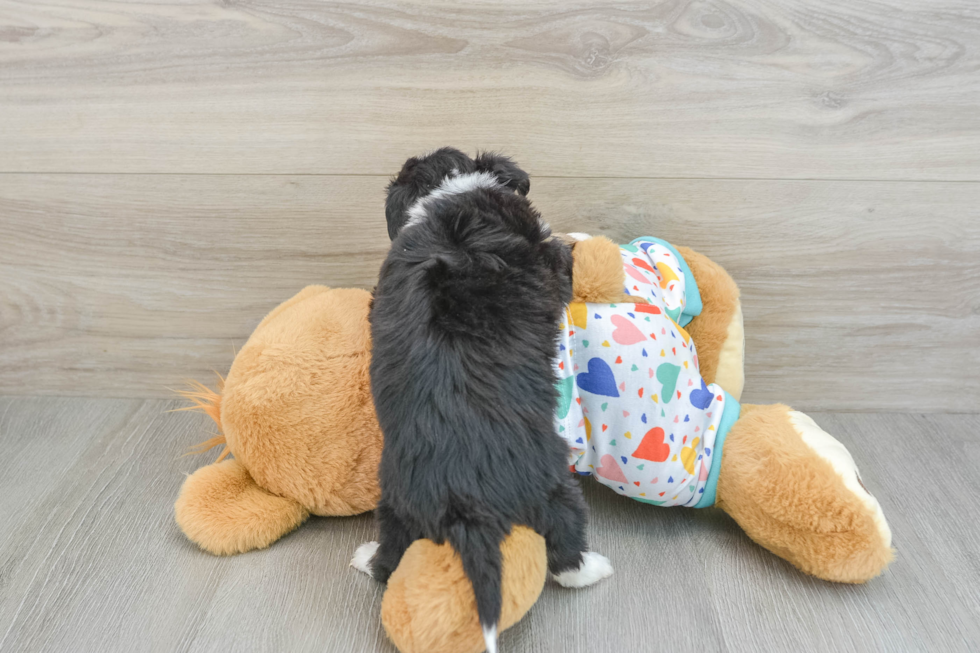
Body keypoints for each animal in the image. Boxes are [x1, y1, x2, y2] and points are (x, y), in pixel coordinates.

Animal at [352, 149, 612, 652]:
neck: (451, 192)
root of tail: (466, 502)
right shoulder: (548, 259)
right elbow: (563, 254)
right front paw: (585, 238)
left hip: (398, 501)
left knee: (392, 558)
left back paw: (366, 557)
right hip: (553, 483)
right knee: (566, 544)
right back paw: (593, 569)